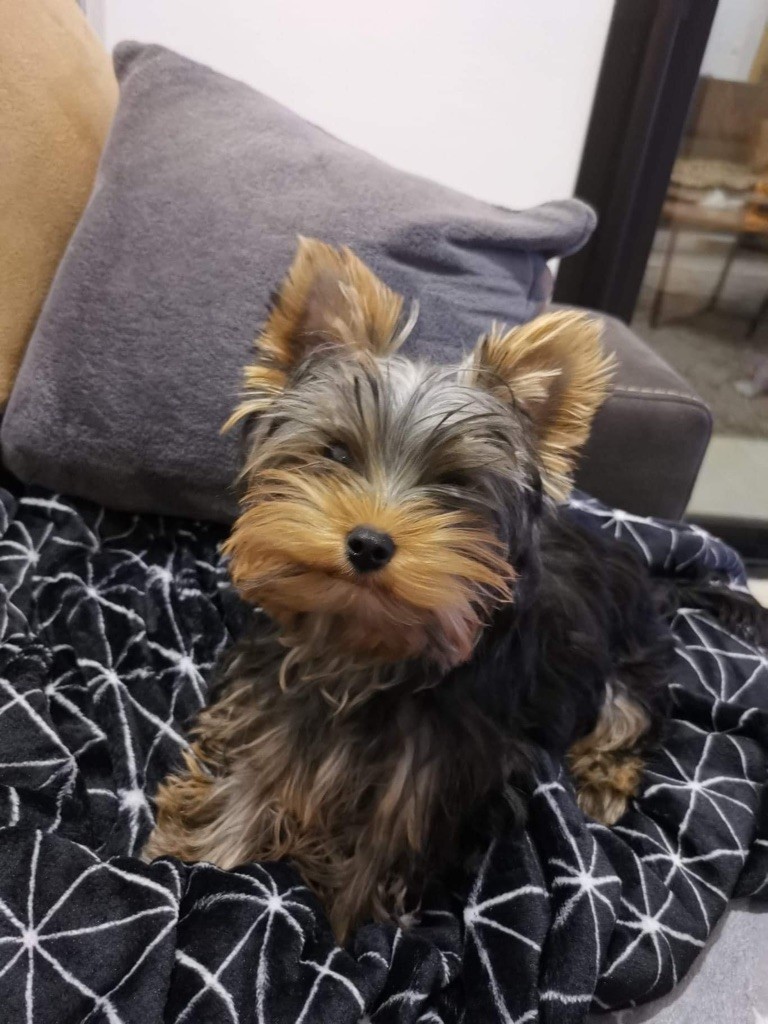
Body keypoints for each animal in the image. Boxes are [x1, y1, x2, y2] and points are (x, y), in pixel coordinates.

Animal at [144, 238, 692, 941]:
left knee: (630, 715)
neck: (364, 646)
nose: (369, 543)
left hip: (629, 662)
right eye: (336, 453)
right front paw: (202, 855)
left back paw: (602, 778)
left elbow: (370, 865)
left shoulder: (426, 781)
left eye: (453, 485)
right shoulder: (279, 719)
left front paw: (341, 936)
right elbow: (250, 789)